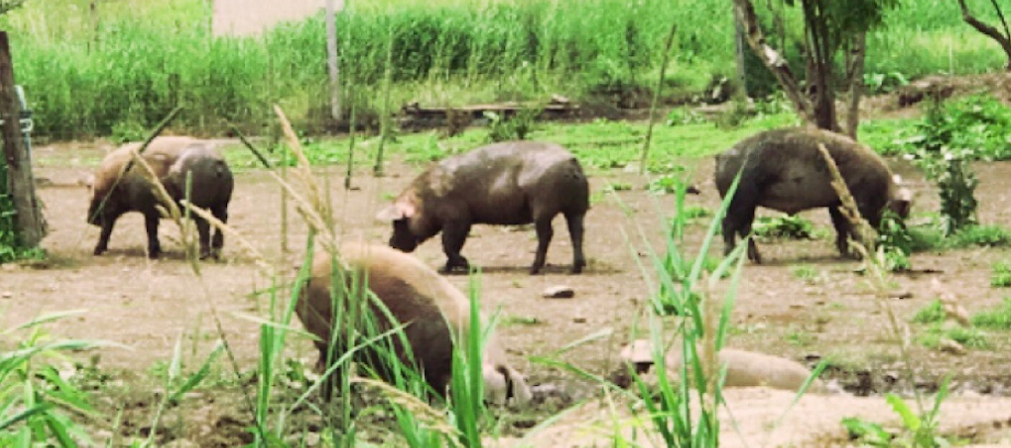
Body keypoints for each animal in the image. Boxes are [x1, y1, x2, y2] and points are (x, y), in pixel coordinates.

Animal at [85, 138, 234, 260]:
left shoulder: (111, 208)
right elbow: (152, 229)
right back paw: (216, 255)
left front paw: (96, 251)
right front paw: (156, 252)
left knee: (204, 225)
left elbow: (107, 230)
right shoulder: (150, 209)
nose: (89, 220)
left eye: (92, 195)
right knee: (221, 222)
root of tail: (217, 162)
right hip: (222, 203)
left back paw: (202, 256)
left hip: (197, 204)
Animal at [376, 140, 590, 275]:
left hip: (542, 206)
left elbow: (448, 244)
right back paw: (575, 269)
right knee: (577, 231)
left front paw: (468, 267)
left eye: (398, 222)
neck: (426, 197)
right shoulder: (465, 221)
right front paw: (443, 269)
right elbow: (455, 244)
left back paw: (533, 270)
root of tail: (571, 163)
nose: (391, 244)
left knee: (547, 234)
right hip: (577, 207)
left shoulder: (457, 218)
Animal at [715, 126, 913, 262]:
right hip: (738, 200)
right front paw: (858, 255)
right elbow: (853, 227)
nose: (905, 234)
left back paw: (756, 259)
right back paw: (731, 257)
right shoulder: (856, 202)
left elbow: (840, 226)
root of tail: (721, 156)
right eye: (901, 211)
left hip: (746, 203)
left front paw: (844, 253)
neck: (882, 189)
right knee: (728, 225)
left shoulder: (835, 203)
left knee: (744, 228)